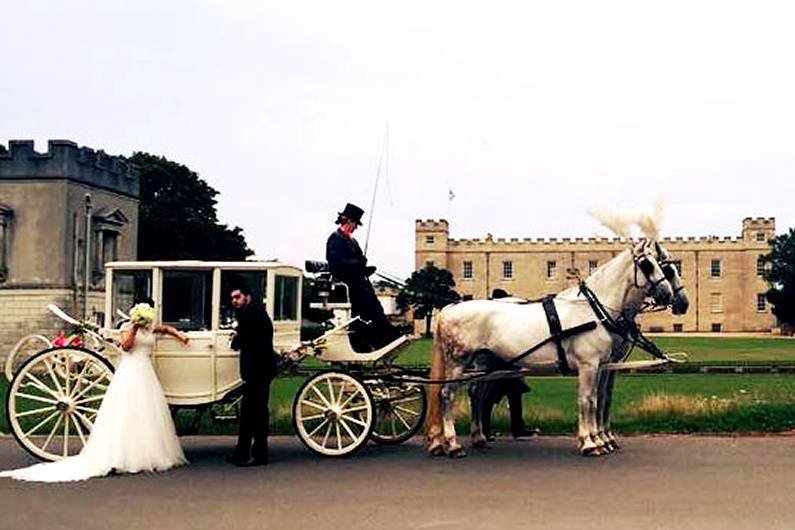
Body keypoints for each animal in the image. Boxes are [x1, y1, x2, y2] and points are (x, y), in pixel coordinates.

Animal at [426, 238, 676, 454]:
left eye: (663, 266)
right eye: (647, 264)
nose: (669, 296)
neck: (593, 310)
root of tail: (449, 308)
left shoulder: (602, 365)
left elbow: (597, 400)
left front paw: (598, 440)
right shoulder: (588, 365)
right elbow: (587, 400)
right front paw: (590, 442)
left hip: (487, 364)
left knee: (477, 395)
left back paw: (477, 438)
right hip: (458, 363)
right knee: (447, 394)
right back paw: (452, 444)